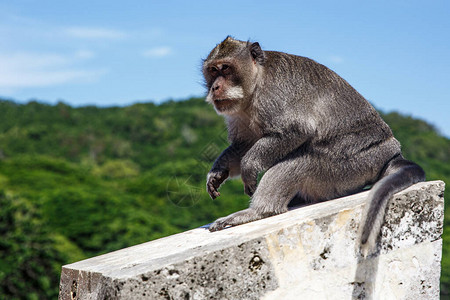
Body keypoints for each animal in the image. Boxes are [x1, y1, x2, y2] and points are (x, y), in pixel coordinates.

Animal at [203, 35, 426, 253]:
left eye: (226, 68)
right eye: (213, 71)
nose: (215, 87)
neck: (255, 85)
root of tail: (391, 154)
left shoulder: (272, 96)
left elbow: (296, 130)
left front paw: (249, 166)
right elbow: (244, 143)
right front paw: (218, 172)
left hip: (351, 166)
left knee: (297, 163)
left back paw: (259, 211)